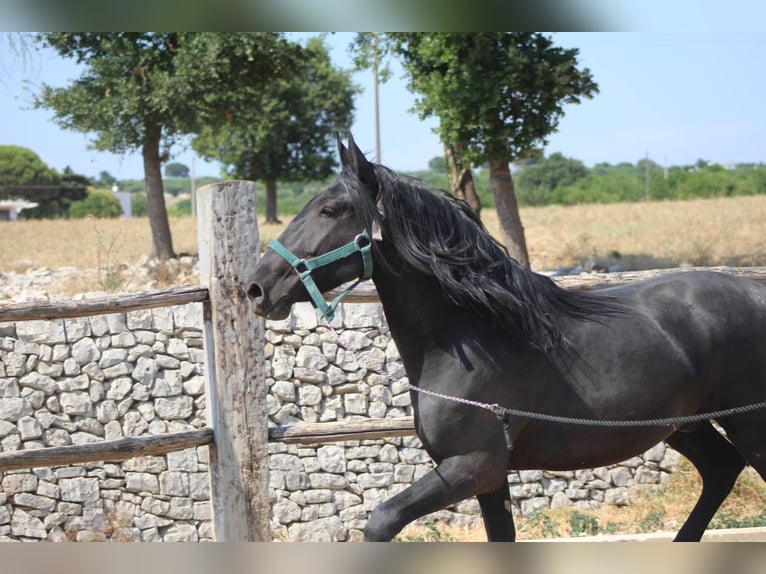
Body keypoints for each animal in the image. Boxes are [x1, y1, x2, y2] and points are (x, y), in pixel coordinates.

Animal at [248, 134, 766, 542]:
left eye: (329, 209)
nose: (257, 287)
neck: (470, 339)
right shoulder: (490, 479)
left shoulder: (471, 467)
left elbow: (381, 521)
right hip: (687, 426)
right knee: (721, 470)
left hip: (747, 424)